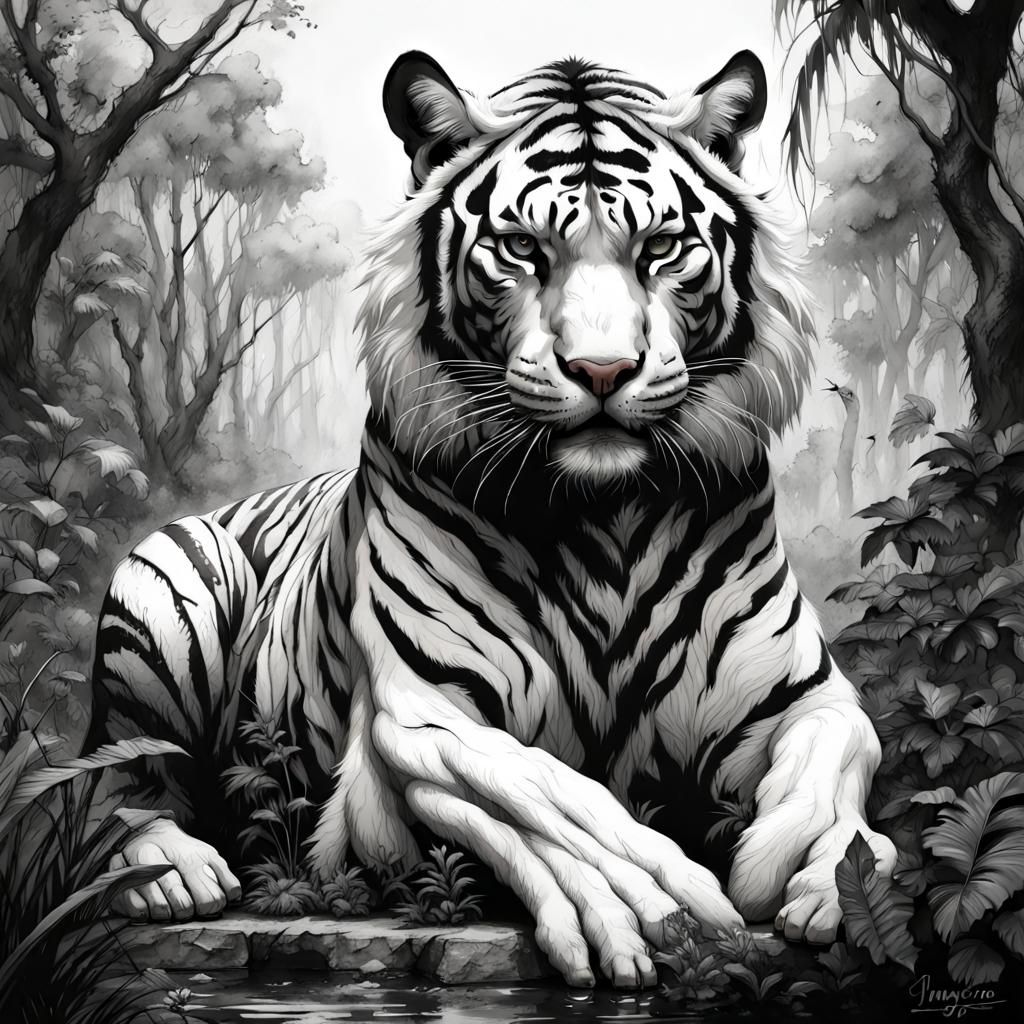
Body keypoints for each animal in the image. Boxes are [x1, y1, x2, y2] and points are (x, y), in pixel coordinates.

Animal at [86, 49, 897, 990]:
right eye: (522, 249)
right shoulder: (426, 715)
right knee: (123, 780)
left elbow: (840, 755)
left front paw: (822, 872)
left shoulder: (805, 695)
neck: (604, 522)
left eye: (659, 248)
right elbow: (548, 793)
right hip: (163, 586)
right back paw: (175, 872)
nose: (602, 370)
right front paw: (652, 903)